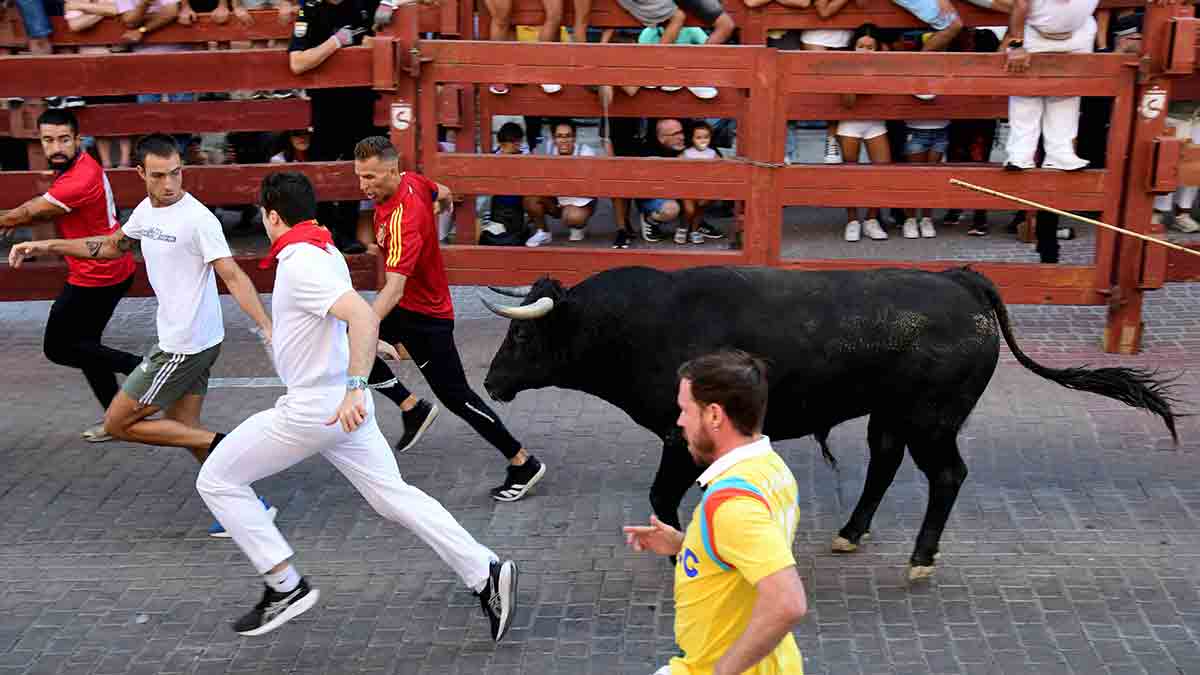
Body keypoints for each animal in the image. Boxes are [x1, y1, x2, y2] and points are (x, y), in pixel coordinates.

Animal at [477, 265, 1180, 576]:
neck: (637, 322)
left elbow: (660, 494)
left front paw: (675, 549)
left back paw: (921, 557)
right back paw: (850, 531)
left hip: (932, 420)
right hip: (890, 415)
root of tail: (960, 280)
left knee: (946, 475)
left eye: (522, 338)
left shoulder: (679, 437)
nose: (489, 382)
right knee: (884, 464)